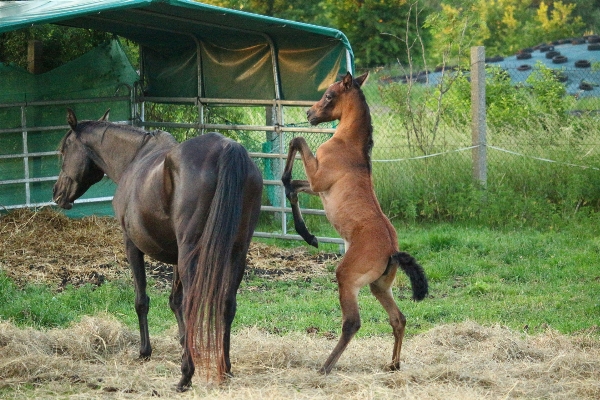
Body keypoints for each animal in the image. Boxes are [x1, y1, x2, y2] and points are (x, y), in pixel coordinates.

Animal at [53, 108, 262, 390]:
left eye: (65, 150)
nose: (57, 193)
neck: (133, 159)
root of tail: (227, 148)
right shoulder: (177, 256)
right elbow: (175, 301)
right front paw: (184, 344)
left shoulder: (132, 245)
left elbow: (142, 300)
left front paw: (145, 351)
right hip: (236, 254)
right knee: (227, 304)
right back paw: (225, 370)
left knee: (194, 304)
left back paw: (185, 376)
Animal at [282, 72, 428, 376]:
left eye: (328, 95)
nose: (309, 113)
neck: (348, 144)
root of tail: (392, 251)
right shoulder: (317, 188)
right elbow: (293, 188)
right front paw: (307, 235)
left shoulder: (318, 180)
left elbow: (297, 142)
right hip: (379, 287)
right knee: (399, 318)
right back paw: (393, 364)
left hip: (347, 279)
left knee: (352, 323)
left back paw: (325, 367)